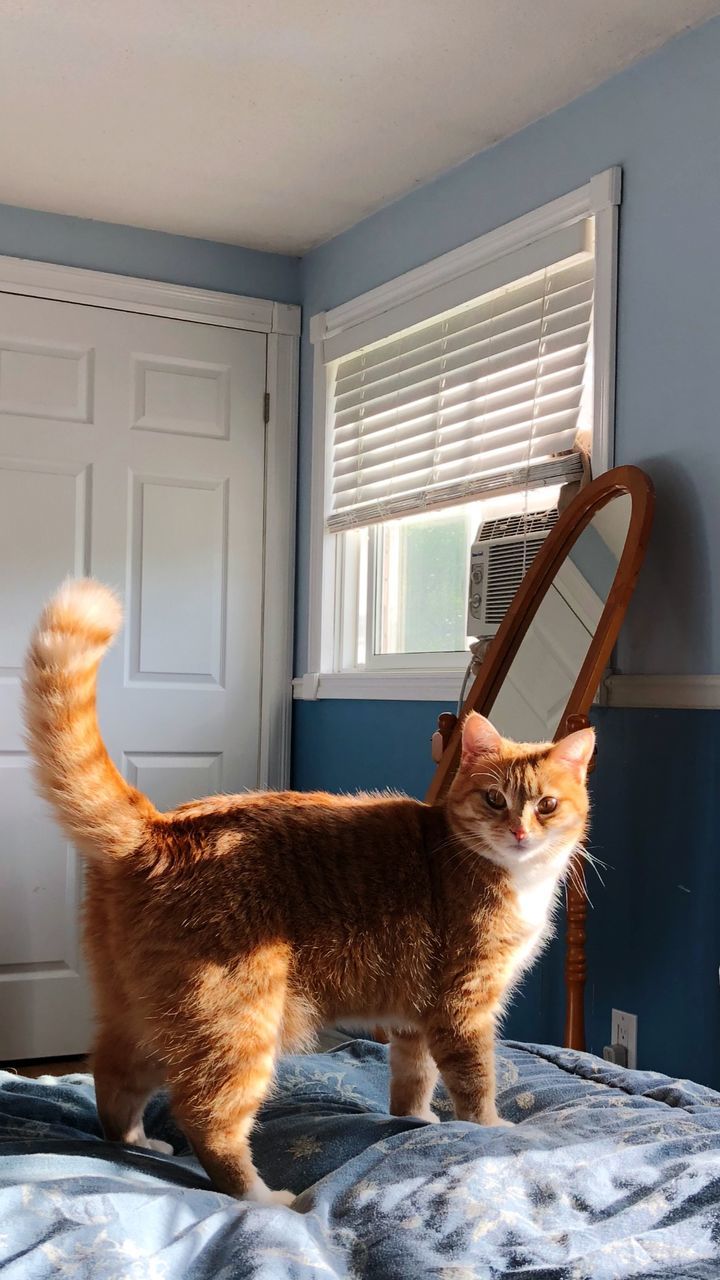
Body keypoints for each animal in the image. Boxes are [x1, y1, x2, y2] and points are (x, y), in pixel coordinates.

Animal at [25, 581, 591, 1198]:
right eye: (494, 800)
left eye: (547, 805)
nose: (519, 832)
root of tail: (160, 830)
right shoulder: (462, 1006)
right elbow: (475, 1082)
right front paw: (489, 1129)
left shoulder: (413, 1019)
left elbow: (413, 1078)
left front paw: (416, 1121)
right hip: (238, 1025)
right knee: (206, 1116)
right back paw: (264, 1198)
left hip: (146, 1019)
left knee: (111, 1076)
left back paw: (137, 1144)